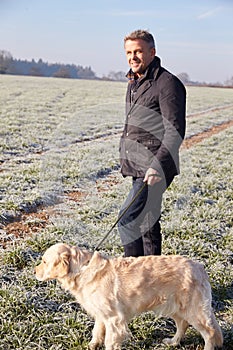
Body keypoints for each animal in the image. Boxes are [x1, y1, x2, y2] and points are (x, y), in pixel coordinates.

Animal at [34, 243, 222, 350]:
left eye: (44, 261)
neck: (82, 269)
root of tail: (199, 267)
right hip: (173, 307)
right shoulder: (102, 315)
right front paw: (92, 345)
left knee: (210, 333)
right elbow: (97, 332)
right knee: (183, 325)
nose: (34, 271)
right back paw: (173, 342)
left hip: (194, 310)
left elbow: (110, 342)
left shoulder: (115, 319)